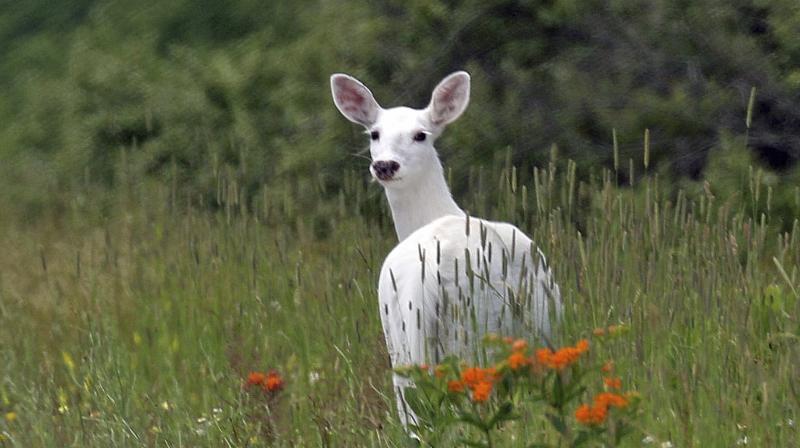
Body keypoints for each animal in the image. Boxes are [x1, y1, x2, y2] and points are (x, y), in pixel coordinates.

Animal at [328, 72, 560, 428]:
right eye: (375, 133)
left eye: (420, 134)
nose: (385, 165)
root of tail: (429, 279)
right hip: (475, 337)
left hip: (406, 348)